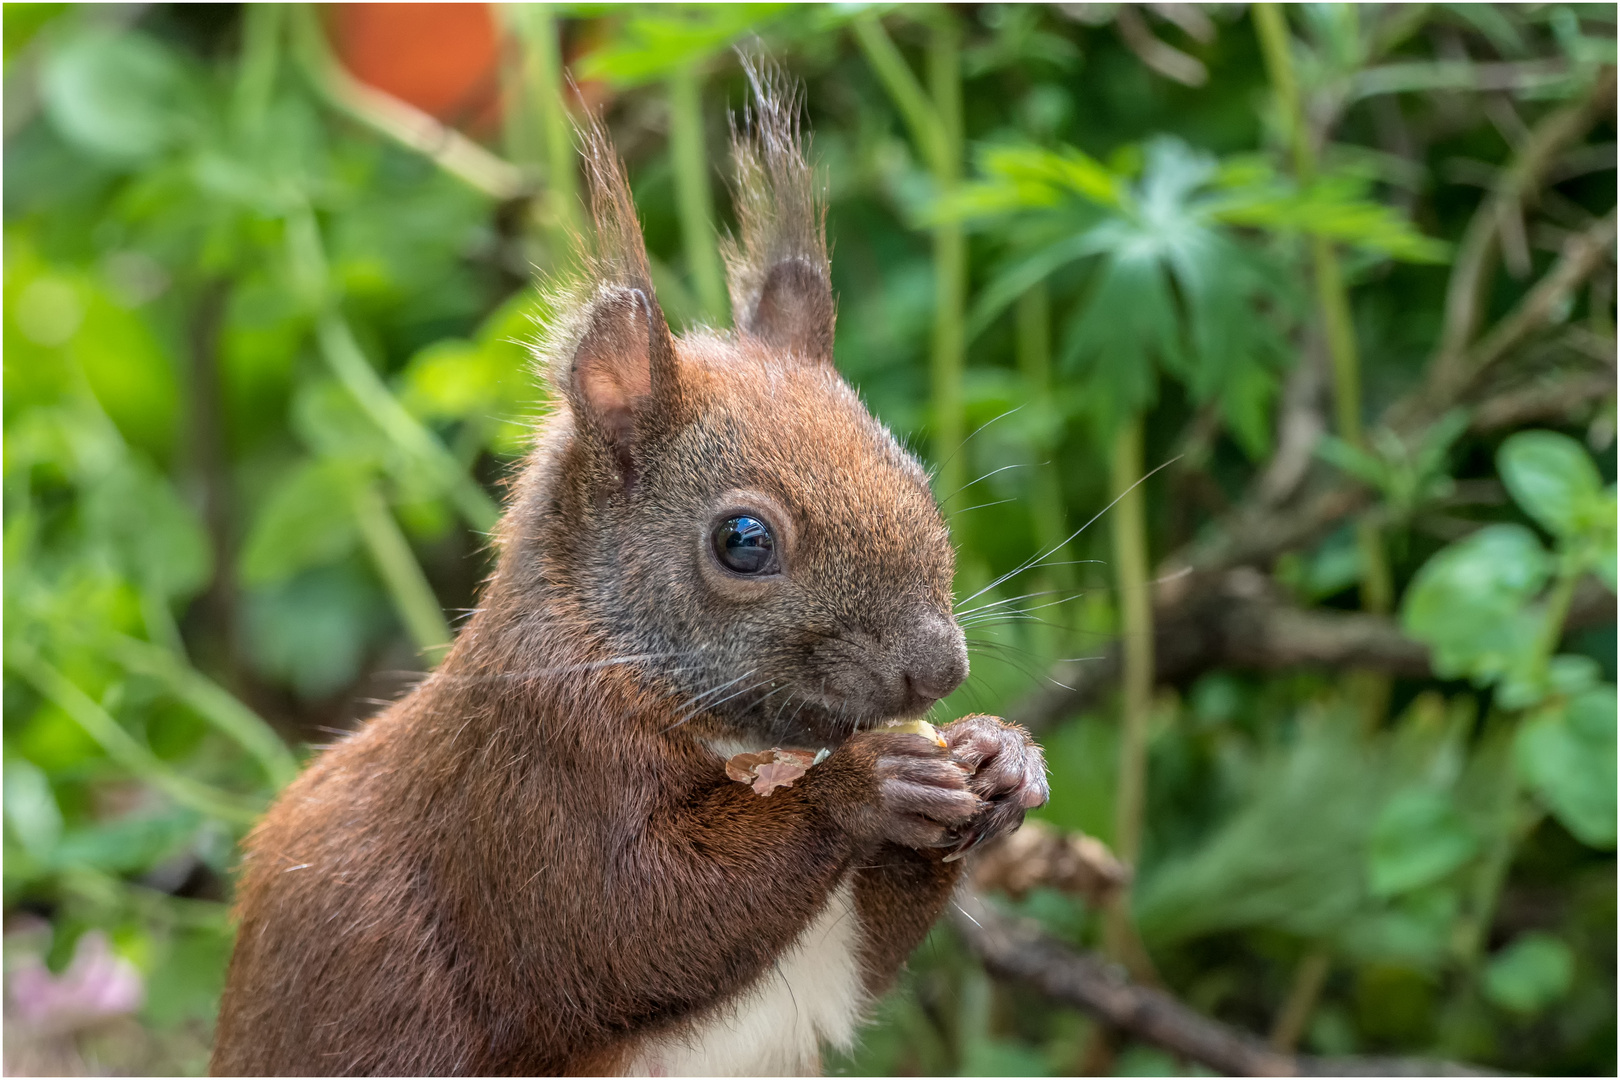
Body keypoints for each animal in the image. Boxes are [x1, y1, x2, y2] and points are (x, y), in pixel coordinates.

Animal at [208, 71, 1043, 1075]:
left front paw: (1001, 754)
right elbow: (631, 921)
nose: (938, 667)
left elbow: (863, 956)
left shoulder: (827, 965)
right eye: (743, 540)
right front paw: (866, 784)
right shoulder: (528, 781)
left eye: (914, 474)